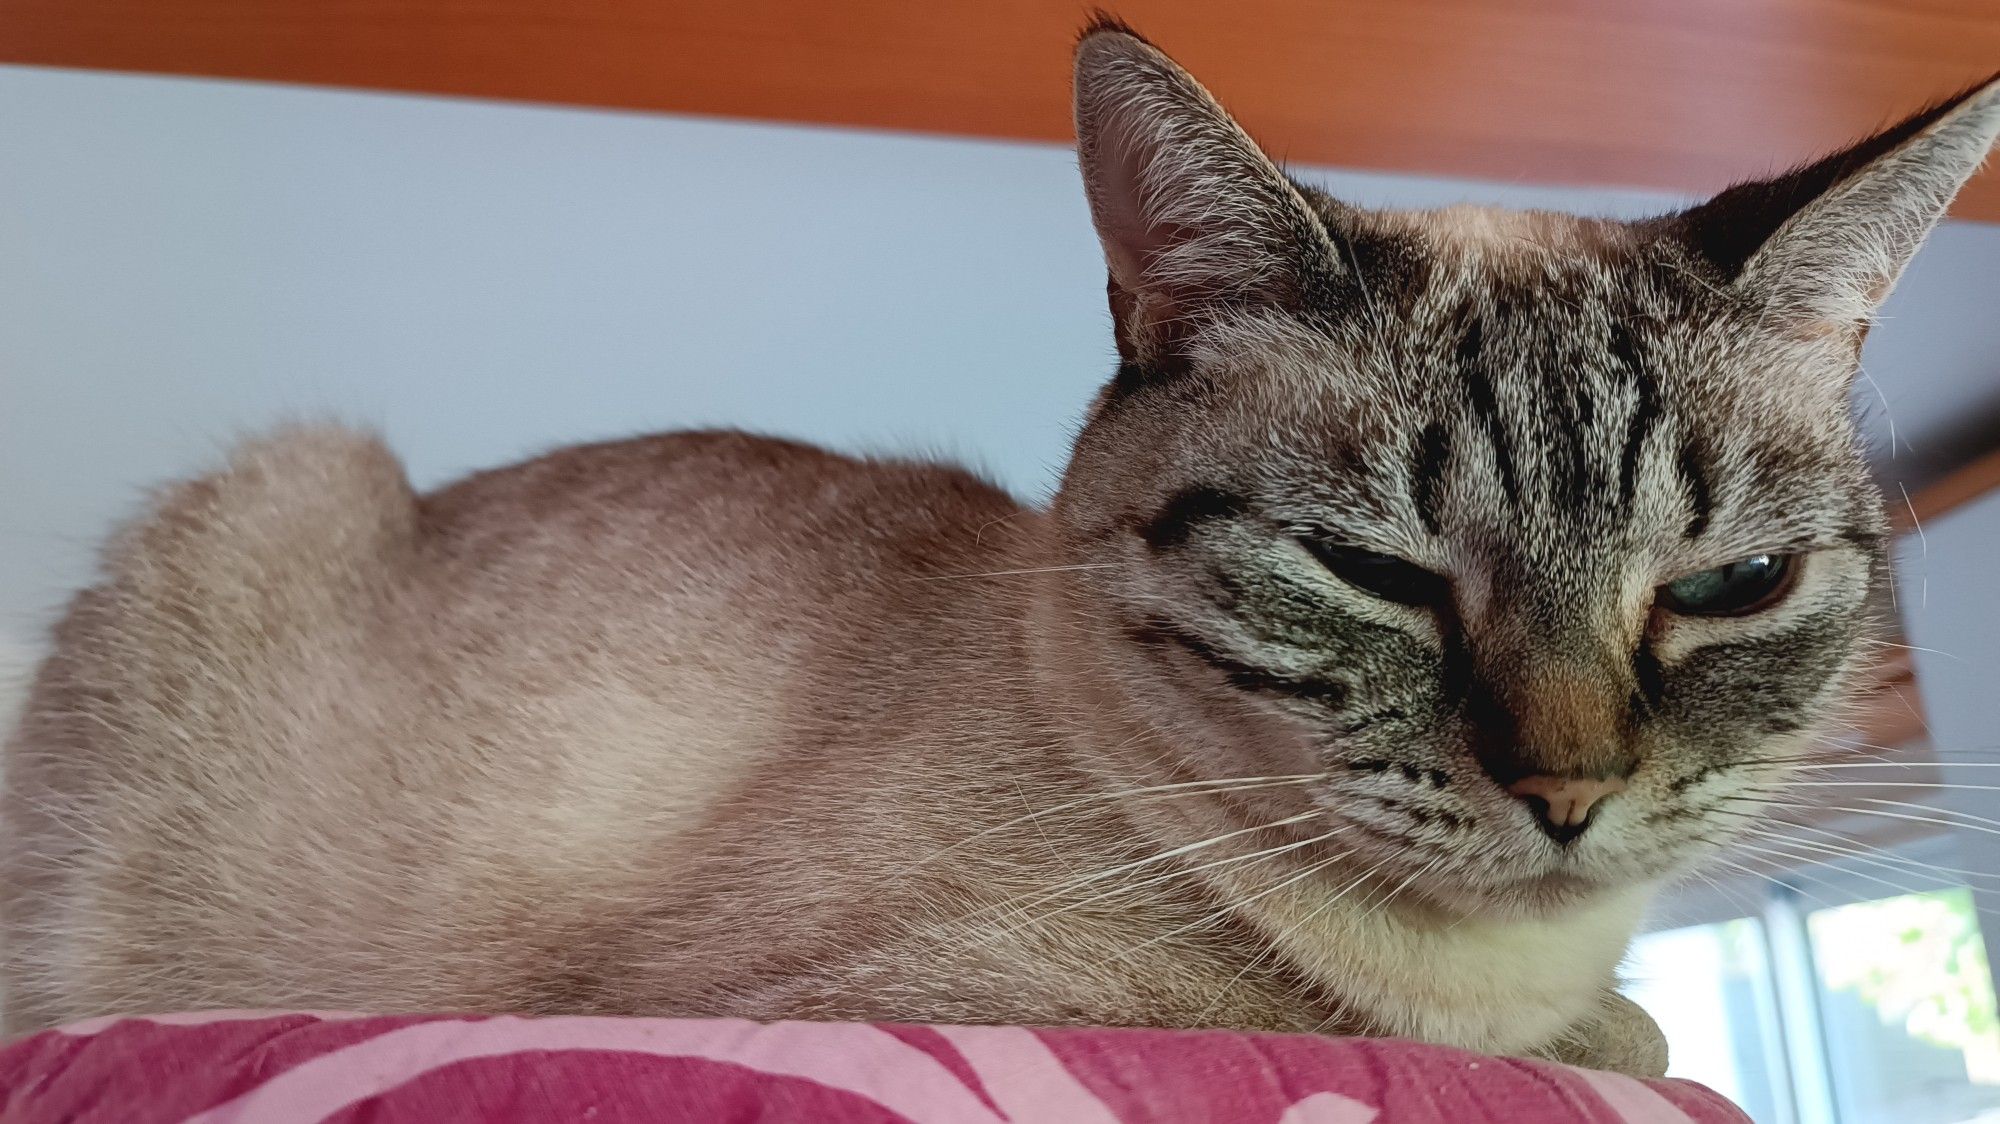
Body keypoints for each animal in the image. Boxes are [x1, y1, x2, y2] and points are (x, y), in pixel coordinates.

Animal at [0, 19, 1992, 1080]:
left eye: (1726, 587)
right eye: (1381, 575)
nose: (1570, 794)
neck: (1516, 973)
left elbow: (1634, 1033)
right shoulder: (915, 1001)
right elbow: (1549, 1045)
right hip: (287, 486)